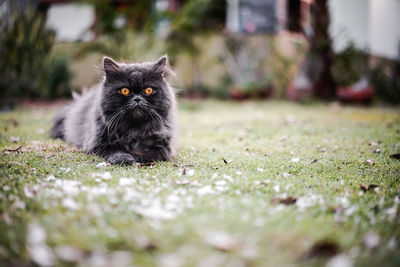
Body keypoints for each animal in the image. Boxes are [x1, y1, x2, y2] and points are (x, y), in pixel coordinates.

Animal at [49, 56, 177, 165]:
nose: (137, 99)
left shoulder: (163, 148)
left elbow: (143, 153)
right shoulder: (97, 144)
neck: (133, 130)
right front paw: (123, 158)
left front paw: (131, 157)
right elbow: (115, 150)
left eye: (148, 90)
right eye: (125, 90)